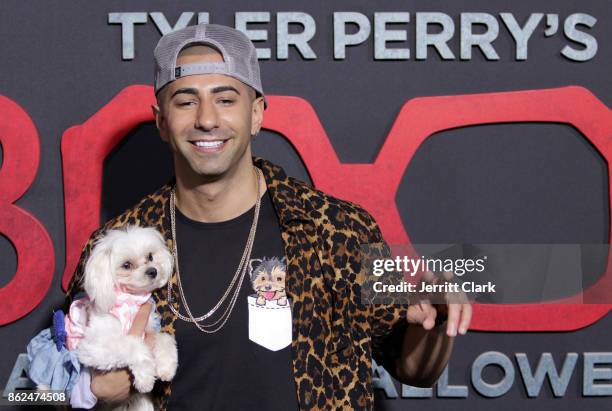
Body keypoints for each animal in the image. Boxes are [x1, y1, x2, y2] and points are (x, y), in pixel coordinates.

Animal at [75, 227, 178, 411]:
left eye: (150, 256)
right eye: (126, 265)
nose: (153, 271)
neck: (131, 301)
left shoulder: (150, 328)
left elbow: (164, 338)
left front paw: (167, 364)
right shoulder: (94, 348)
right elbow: (133, 345)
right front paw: (145, 377)